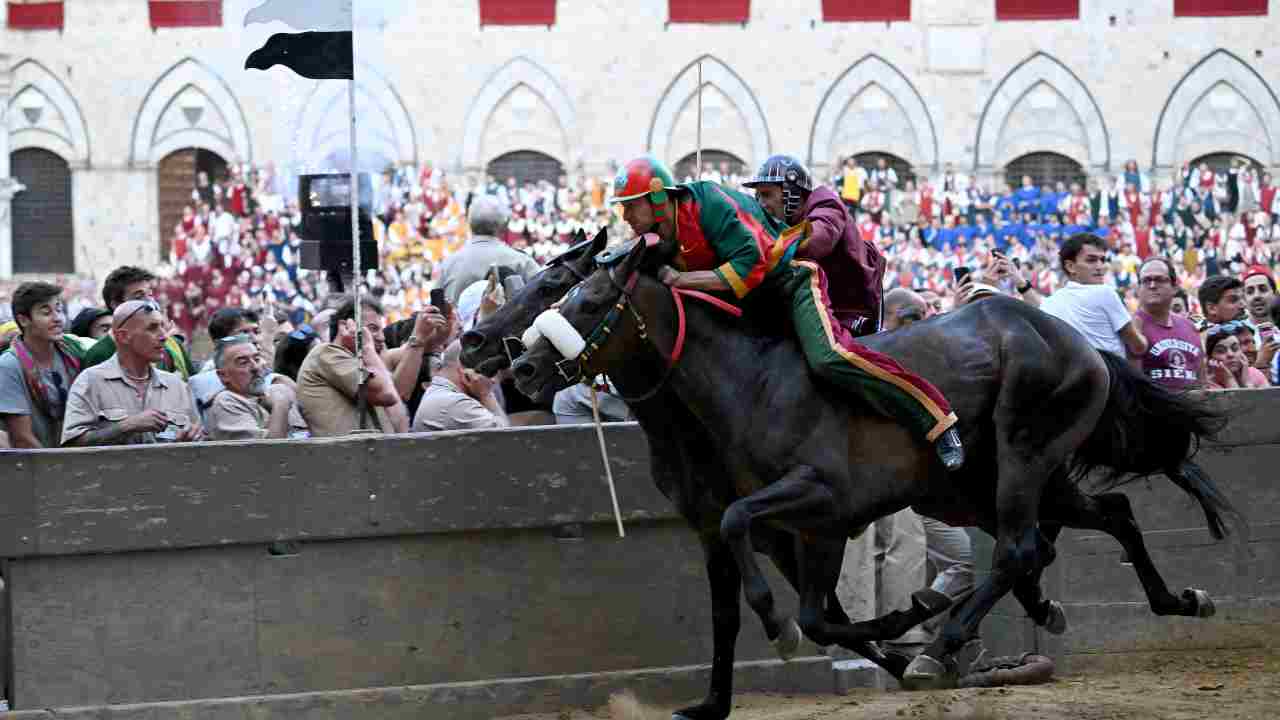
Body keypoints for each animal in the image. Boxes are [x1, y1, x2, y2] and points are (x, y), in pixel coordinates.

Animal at [504, 240, 1233, 717]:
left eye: (589, 297)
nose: (521, 369)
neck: (752, 385)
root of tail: (1084, 346)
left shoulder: (820, 504)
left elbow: (802, 603)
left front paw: (836, 627)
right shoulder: (772, 528)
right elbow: (786, 610)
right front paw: (713, 700)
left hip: (1024, 453)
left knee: (1023, 545)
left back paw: (944, 646)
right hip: (999, 483)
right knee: (1107, 515)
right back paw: (1175, 599)